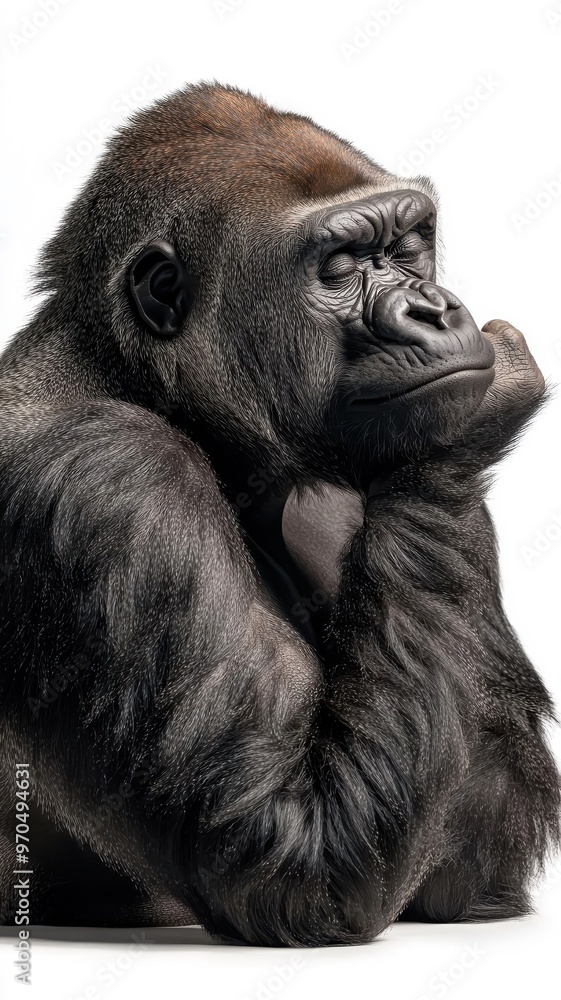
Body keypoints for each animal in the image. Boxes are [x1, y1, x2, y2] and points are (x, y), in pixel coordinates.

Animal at [0, 82, 558, 946]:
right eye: (340, 266)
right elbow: (293, 853)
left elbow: (474, 849)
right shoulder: (106, 477)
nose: (433, 310)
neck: (127, 370)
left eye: (409, 246)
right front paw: (459, 427)